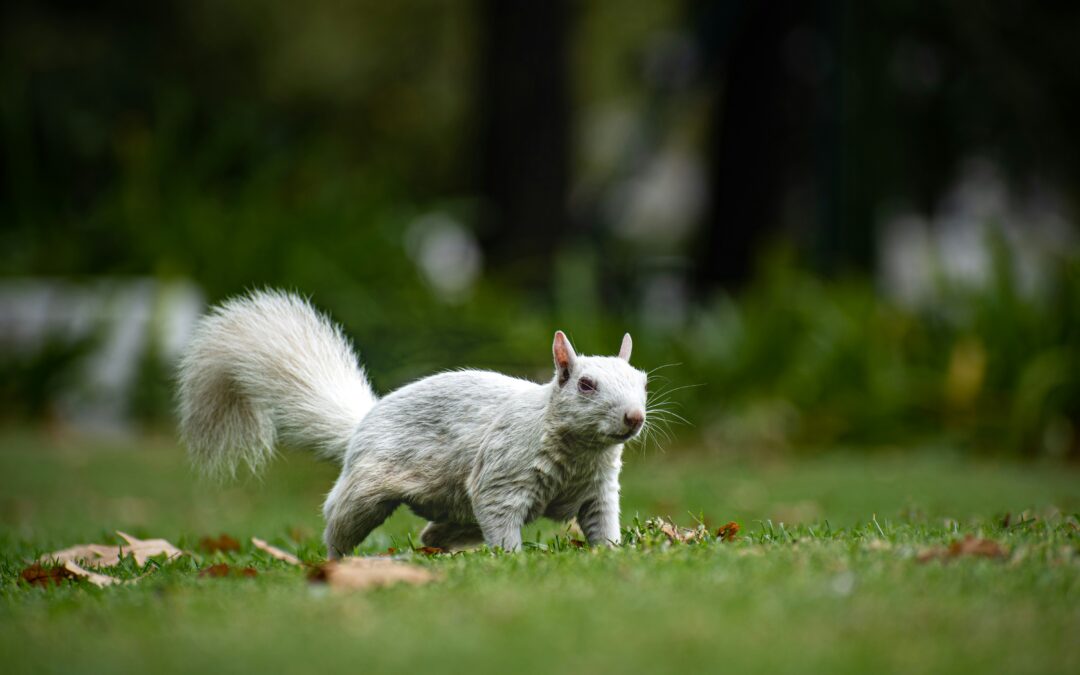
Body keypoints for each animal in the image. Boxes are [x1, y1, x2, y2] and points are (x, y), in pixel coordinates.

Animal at [177, 290, 649, 558]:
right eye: (585, 384)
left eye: (643, 381)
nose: (635, 417)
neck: (581, 452)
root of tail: (364, 422)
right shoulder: (503, 476)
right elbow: (501, 518)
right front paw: (513, 560)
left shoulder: (598, 490)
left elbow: (602, 523)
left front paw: (612, 554)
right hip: (365, 491)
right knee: (338, 520)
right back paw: (336, 563)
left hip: (457, 513)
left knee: (432, 531)